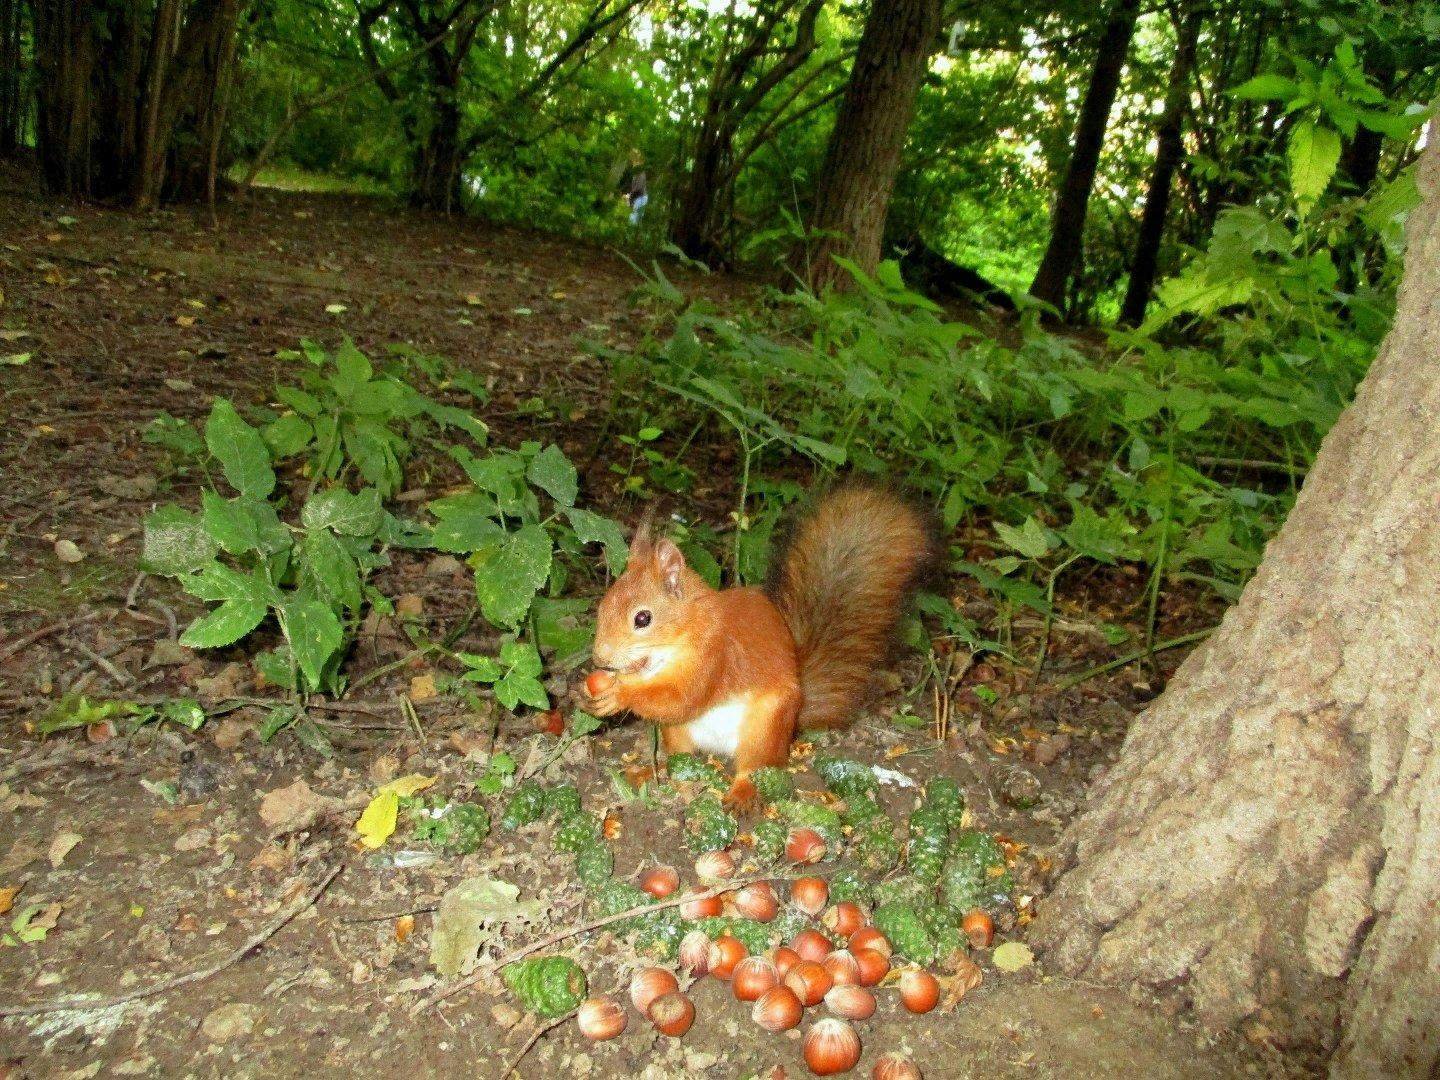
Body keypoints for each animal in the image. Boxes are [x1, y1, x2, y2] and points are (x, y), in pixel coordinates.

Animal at [584, 489, 933, 812]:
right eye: (602, 606)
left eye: (643, 619)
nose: (600, 657)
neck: (685, 635)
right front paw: (590, 691)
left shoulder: (718, 657)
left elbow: (682, 698)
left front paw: (618, 694)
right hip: (679, 733)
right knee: (679, 757)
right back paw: (650, 773)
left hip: (764, 728)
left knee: (754, 767)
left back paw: (742, 793)